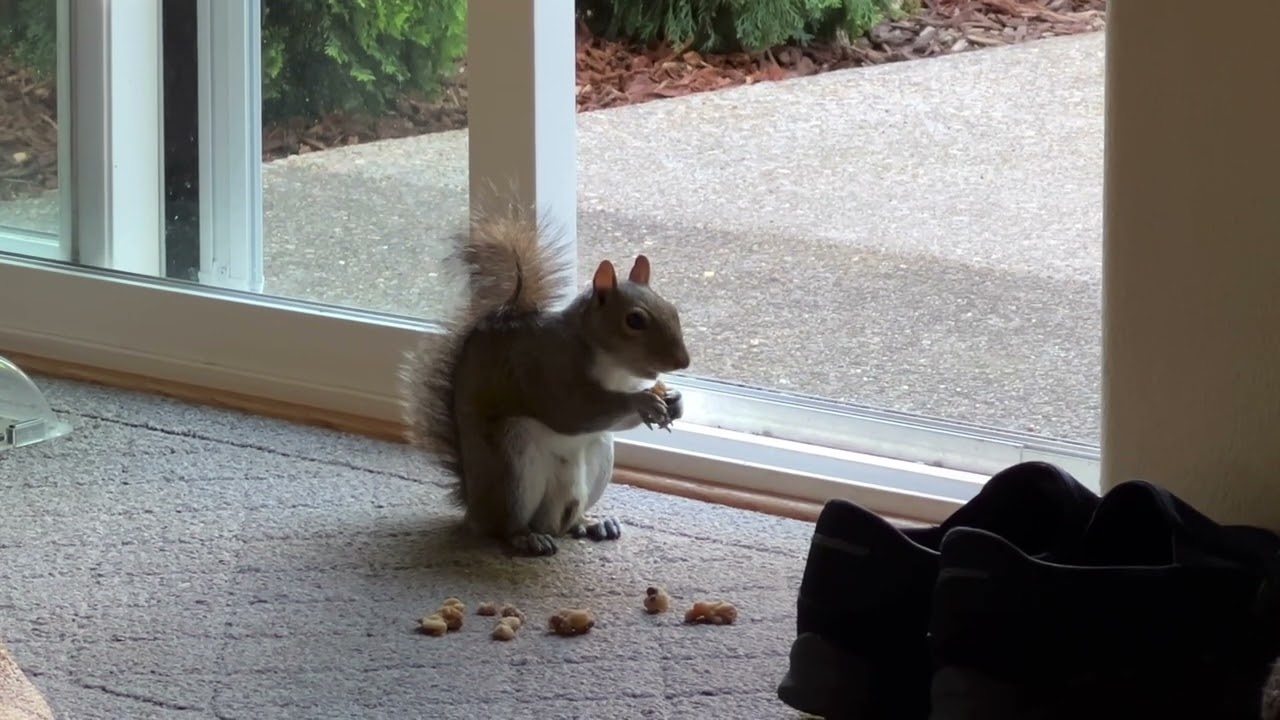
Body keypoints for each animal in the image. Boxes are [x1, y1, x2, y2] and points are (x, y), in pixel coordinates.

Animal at [399, 202, 691, 557]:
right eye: (634, 320)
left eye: (672, 309)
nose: (683, 362)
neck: (615, 369)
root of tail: (475, 511)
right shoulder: (548, 371)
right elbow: (573, 412)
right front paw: (643, 400)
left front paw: (674, 400)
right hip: (512, 466)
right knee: (506, 527)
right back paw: (526, 537)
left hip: (599, 457)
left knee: (569, 522)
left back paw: (593, 523)